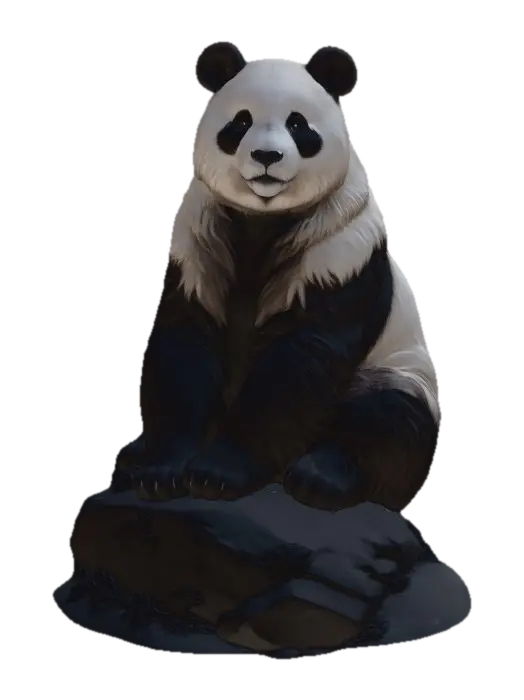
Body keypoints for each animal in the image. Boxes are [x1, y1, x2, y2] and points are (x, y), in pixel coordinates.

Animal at [126, 45, 444, 513]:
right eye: (240, 122)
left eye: (298, 124)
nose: (266, 157)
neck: (262, 218)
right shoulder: (195, 244)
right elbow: (184, 344)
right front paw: (162, 470)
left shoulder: (342, 251)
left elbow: (301, 361)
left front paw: (218, 473)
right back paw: (131, 451)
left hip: (402, 370)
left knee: (391, 418)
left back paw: (321, 477)